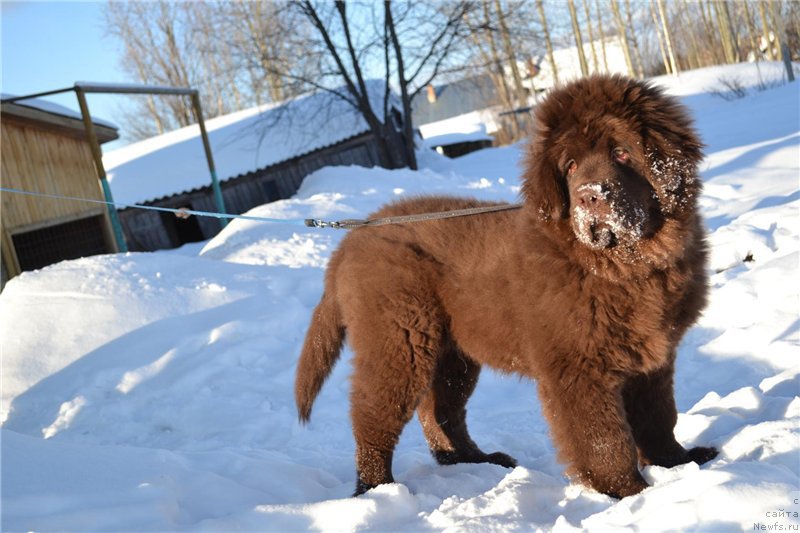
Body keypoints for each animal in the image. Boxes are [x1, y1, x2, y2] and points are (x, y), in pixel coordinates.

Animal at [296, 75, 720, 498]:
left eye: (621, 153)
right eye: (570, 166)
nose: (590, 195)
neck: (622, 267)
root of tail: (350, 241)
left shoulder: (653, 358)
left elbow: (658, 416)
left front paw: (677, 463)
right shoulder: (578, 367)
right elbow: (604, 437)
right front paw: (630, 491)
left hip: (453, 356)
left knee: (439, 411)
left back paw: (473, 460)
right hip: (399, 343)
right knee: (373, 415)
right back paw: (376, 488)